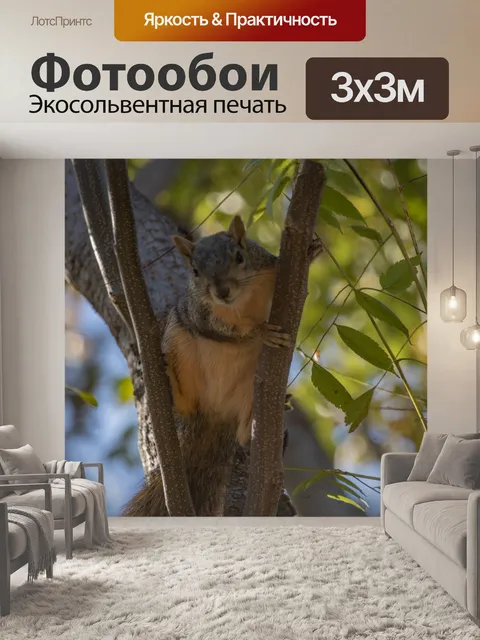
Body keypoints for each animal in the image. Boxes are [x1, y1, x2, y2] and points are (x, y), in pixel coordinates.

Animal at [124, 215, 322, 517]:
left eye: (240, 256)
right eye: (194, 271)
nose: (222, 291)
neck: (241, 300)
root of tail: (215, 414)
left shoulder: (271, 268)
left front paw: (311, 252)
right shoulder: (202, 313)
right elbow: (225, 330)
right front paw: (260, 332)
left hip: (252, 387)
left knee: (243, 435)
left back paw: (258, 422)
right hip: (178, 341)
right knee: (184, 404)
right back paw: (171, 384)